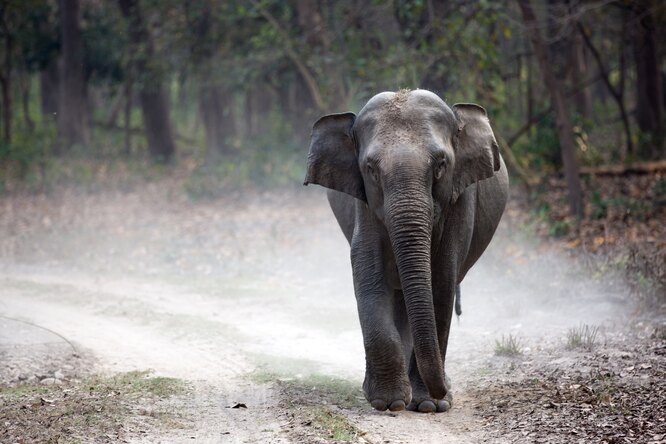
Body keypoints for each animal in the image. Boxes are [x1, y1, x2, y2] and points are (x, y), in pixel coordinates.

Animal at [304, 89, 506, 412]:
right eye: (371, 169)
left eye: (440, 165)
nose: (444, 389)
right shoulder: (365, 205)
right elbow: (369, 277)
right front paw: (389, 402)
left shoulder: (460, 200)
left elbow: (441, 283)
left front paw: (429, 405)